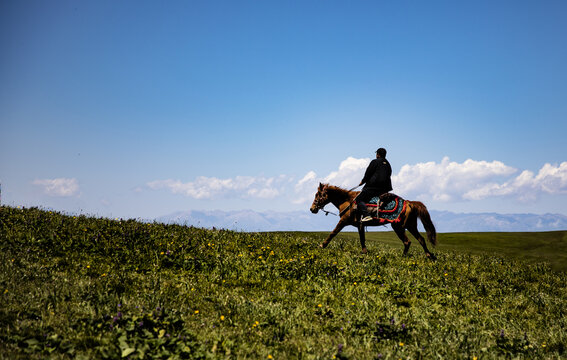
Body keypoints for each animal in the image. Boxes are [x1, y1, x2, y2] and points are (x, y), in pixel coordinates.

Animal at [310, 183, 440, 258]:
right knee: (421, 239)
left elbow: (333, 233)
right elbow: (362, 239)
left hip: (399, 227)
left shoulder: (343, 221)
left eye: (317, 194)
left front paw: (322, 245)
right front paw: (364, 252)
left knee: (407, 242)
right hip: (411, 226)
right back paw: (429, 256)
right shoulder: (360, 225)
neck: (348, 201)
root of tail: (409, 203)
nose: (312, 209)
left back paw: (403, 257)